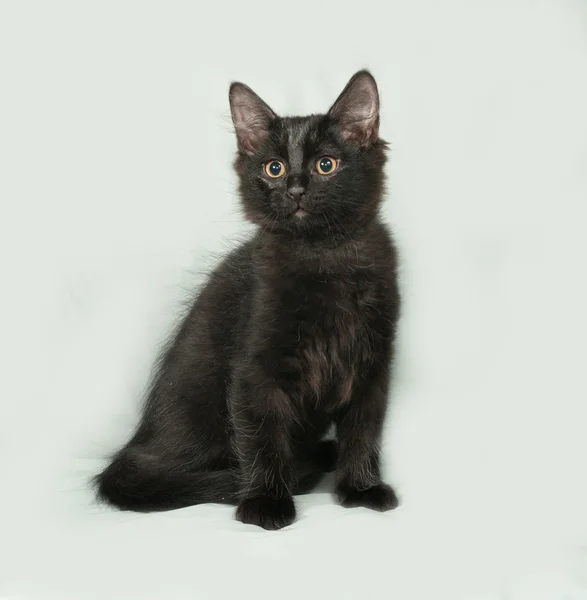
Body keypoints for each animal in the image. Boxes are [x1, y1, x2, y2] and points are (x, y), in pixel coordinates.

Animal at [95, 69, 400, 528]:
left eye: (325, 165)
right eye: (274, 168)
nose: (294, 188)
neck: (324, 257)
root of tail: (134, 447)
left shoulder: (372, 364)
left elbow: (364, 429)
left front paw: (361, 488)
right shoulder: (255, 366)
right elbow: (263, 436)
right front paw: (266, 503)